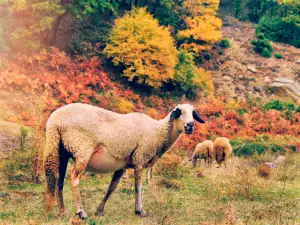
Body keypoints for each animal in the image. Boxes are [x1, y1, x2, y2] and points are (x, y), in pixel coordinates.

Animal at [43, 103, 205, 219]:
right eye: (179, 112)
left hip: (61, 151)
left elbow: (112, 187)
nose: (190, 125)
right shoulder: (140, 158)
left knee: (58, 182)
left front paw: (100, 210)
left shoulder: (122, 165)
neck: (158, 132)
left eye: (193, 113)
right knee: (74, 179)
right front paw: (140, 211)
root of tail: (54, 121)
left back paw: (62, 213)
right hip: (82, 150)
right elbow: (138, 187)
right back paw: (80, 212)